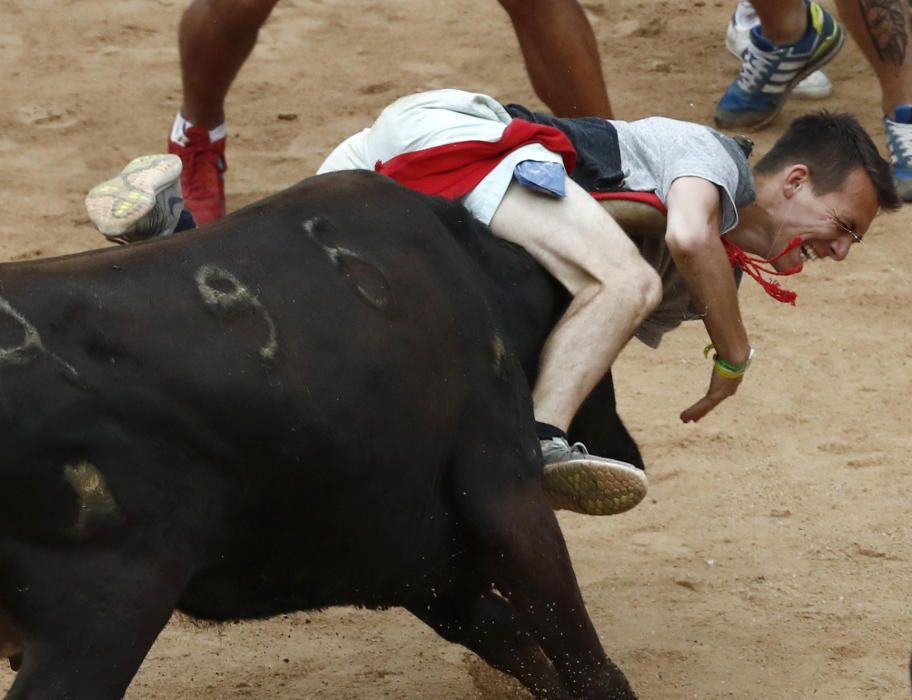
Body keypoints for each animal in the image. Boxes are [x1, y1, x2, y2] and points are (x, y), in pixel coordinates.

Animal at [0, 171, 640, 700]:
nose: (628, 455)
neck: (475, 272)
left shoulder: (423, 566)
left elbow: (521, 646)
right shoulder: (505, 493)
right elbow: (579, 654)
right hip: (105, 617)